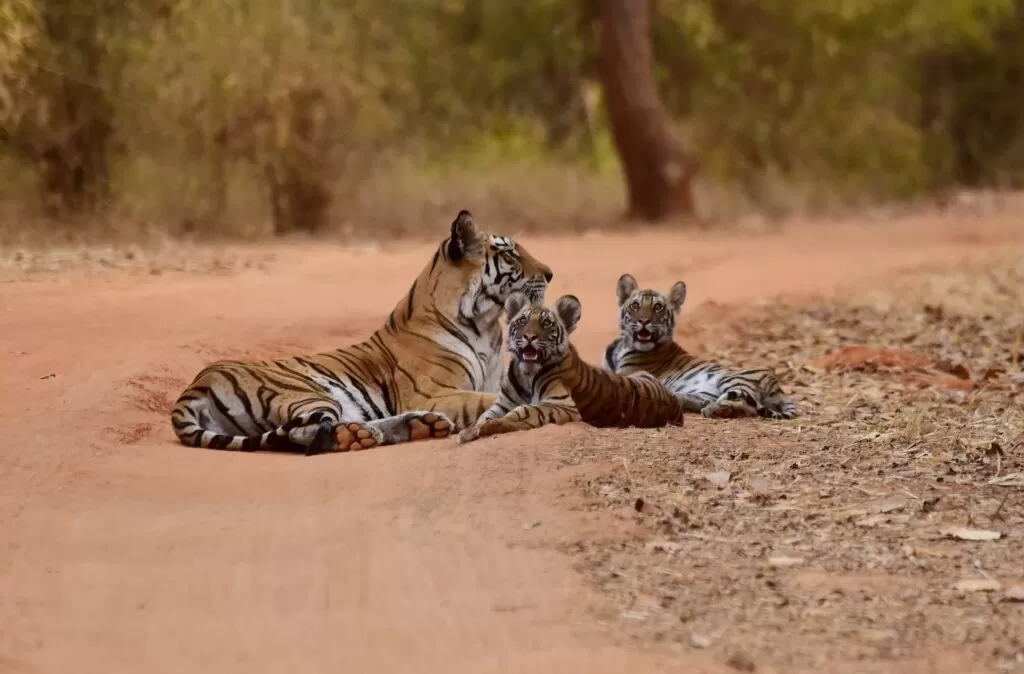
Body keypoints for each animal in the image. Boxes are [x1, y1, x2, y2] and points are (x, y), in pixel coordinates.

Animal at [171, 210, 554, 455]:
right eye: (511, 255)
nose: (550, 273)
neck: (486, 324)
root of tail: (194, 386)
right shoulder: (435, 393)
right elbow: (487, 401)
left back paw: (420, 426)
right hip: (305, 393)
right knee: (303, 433)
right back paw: (362, 435)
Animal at [457, 291, 685, 444]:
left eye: (546, 323)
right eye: (522, 320)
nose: (529, 336)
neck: (526, 374)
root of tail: (675, 403)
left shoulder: (563, 404)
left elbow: (525, 410)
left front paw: (489, 427)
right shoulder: (502, 403)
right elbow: (485, 416)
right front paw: (472, 430)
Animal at [602, 273, 798, 419]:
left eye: (658, 307)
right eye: (635, 305)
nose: (644, 321)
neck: (624, 345)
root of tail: (778, 387)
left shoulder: (627, 374)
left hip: (731, 378)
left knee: (745, 403)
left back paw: (715, 409)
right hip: (704, 393)